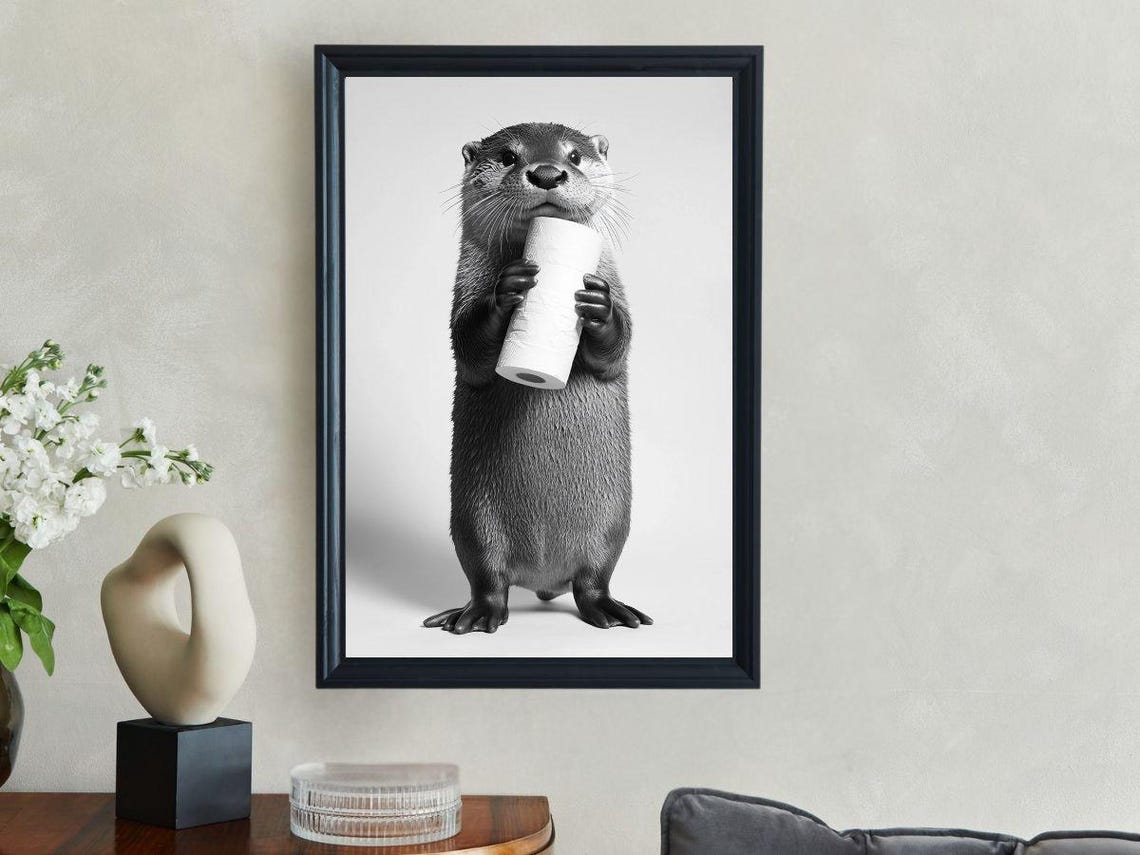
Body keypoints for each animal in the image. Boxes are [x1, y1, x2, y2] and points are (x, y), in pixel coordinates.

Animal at [423, 122, 652, 635]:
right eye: (509, 156)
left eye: (575, 156)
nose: (548, 173)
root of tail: (543, 578)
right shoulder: (462, 291)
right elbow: (469, 350)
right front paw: (507, 288)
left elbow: (617, 349)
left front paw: (598, 305)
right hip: (472, 521)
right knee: (487, 577)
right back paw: (474, 616)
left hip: (612, 523)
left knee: (594, 579)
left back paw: (611, 611)